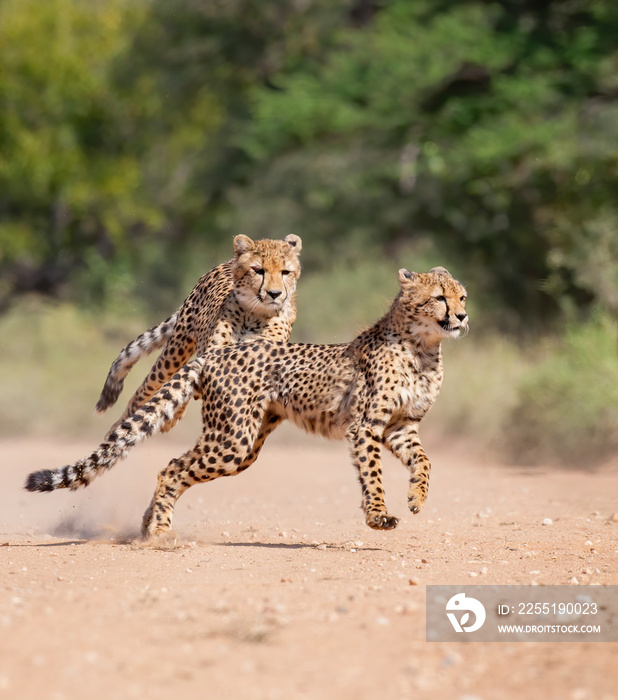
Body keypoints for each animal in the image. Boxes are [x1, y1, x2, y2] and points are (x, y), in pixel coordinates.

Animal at [26, 266, 464, 536]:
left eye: (463, 296)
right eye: (440, 298)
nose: (462, 317)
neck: (424, 347)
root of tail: (216, 352)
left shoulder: (401, 426)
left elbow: (425, 461)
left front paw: (416, 497)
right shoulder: (365, 426)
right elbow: (372, 473)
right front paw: (378, 516)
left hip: (244, 443)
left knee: (175, 466)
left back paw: (151, 523)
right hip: (232, 439)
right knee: (171, 468)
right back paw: (160, 533)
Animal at [93, 234, 300, 432]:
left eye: (285, 272)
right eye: (258, 270)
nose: (275, 294)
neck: (255, 314)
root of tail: (225, 262)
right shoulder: (212, 357)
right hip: (174, 353)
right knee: (145, 390)